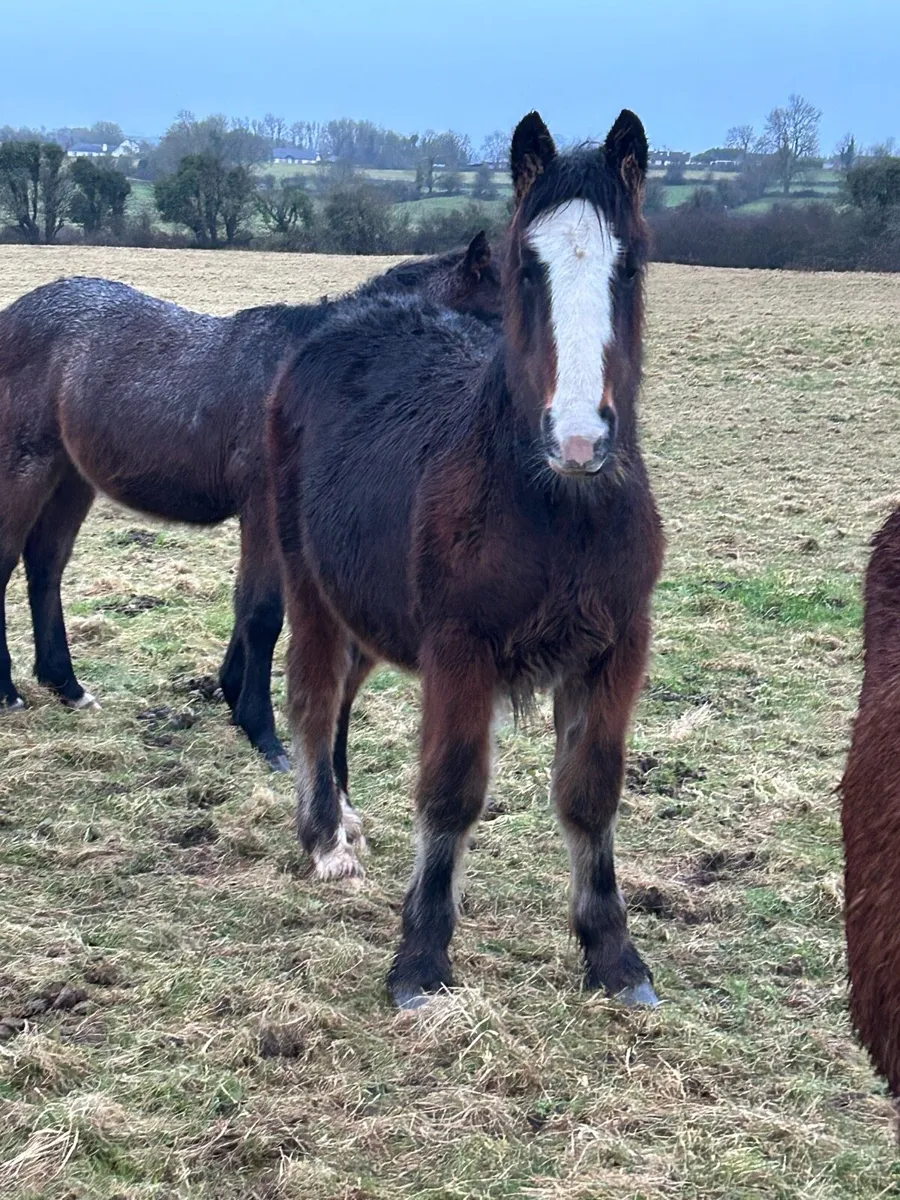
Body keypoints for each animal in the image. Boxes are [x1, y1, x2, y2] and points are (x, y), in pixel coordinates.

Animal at [0, 235, 501, 772]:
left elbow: (248, 606)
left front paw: (232, 693)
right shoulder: (263, 510)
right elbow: (263, 614)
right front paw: (263, 731)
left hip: (71, 476)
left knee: (46, 564)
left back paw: (67, 685)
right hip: (25, 464)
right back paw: (9, 692)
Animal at [267, 109, 664, 1009]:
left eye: (631, 262)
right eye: (527, 266)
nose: (579, 437)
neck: (555, 504)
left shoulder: (616, 649)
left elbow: (591, 793)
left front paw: (613, 953)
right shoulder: (459, 649)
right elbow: (449, 794)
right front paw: (421, 958)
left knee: (340, 694)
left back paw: (344, 819)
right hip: (310, 586)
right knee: (312, 698)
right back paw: (324, 838)